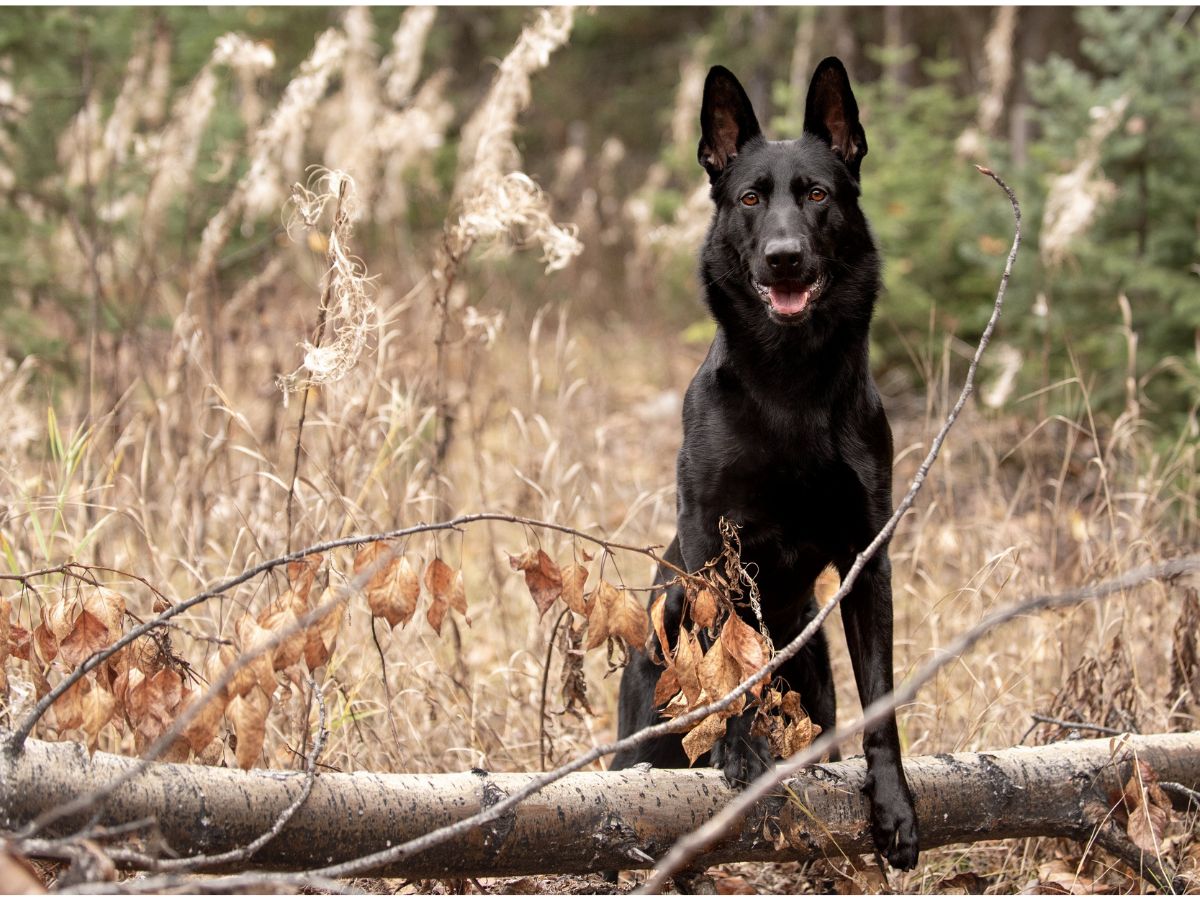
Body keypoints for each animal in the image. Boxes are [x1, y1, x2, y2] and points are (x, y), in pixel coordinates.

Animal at [614, 58, 921, 873]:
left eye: (817, 195)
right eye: (751, 198)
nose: (784, 255)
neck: (791, 384)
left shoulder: (867, 557)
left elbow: (881, 699)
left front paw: (893, 802)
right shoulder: (712, 545)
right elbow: (730, 660)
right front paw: (740, 750)